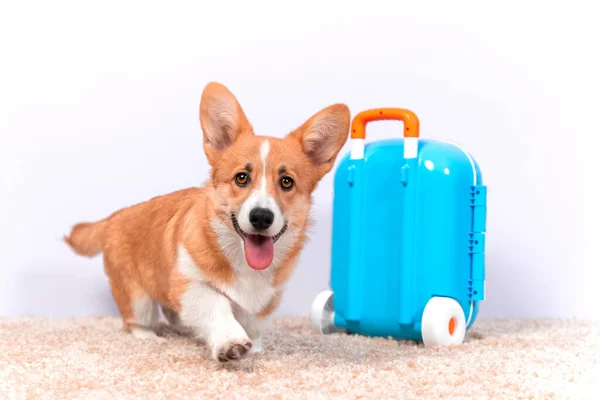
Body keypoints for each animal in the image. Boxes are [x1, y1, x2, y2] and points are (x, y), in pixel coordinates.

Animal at [64, 82, 352, 362]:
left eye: (286, 182)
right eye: (241, 178)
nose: (261, 217)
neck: (242, 260)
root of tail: (114, 217)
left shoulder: (269, 297)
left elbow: (254, 321)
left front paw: (255, 347)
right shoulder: (189, 283)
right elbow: (218, 305)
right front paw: (230, 342)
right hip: (137, 297)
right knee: (137, 320)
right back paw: (151, 338)